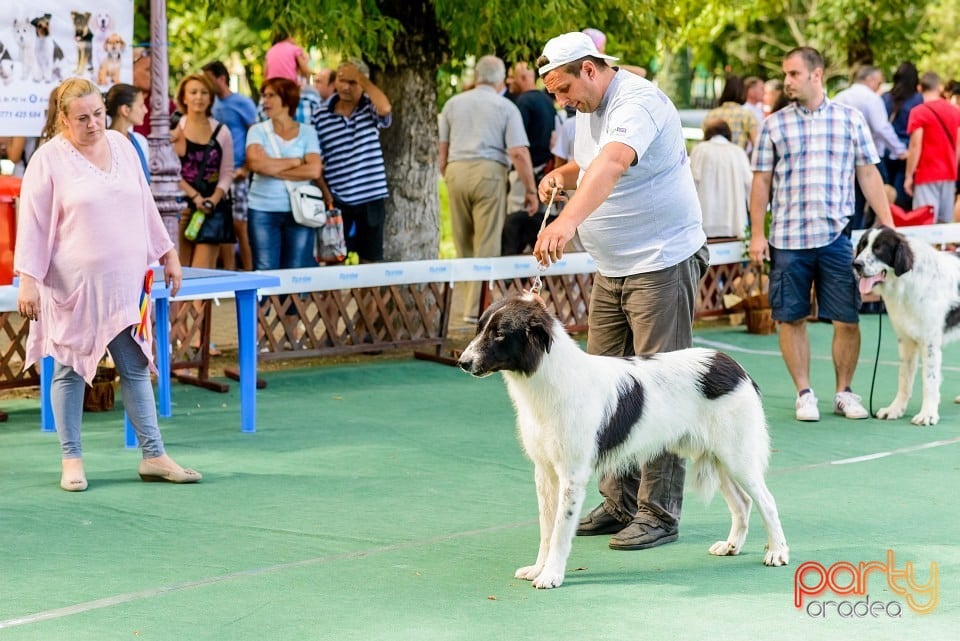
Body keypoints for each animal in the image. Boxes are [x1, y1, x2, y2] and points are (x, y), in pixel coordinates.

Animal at [458, 292, 788, 588]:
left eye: (499, 334)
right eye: (480, 328)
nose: (462, 361)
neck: (552, 378)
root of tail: (732, 364)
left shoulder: (572, 475)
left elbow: (561, 531)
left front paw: (551, 575)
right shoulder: (545, 471)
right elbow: (547, 529)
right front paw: (538, 568)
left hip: (737, 456)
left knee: (767, 501)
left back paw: (777, 552)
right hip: (718, 458)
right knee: (743, 503)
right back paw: (731, 546)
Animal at [856, 225, 960, 424]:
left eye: (879, 248)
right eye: (863, 246)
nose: (856, 264)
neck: (906, 282)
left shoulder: (929, 343)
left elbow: (929, 380)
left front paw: (928, 414)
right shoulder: (906, 341)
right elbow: (904, 379)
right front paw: (895, 409)